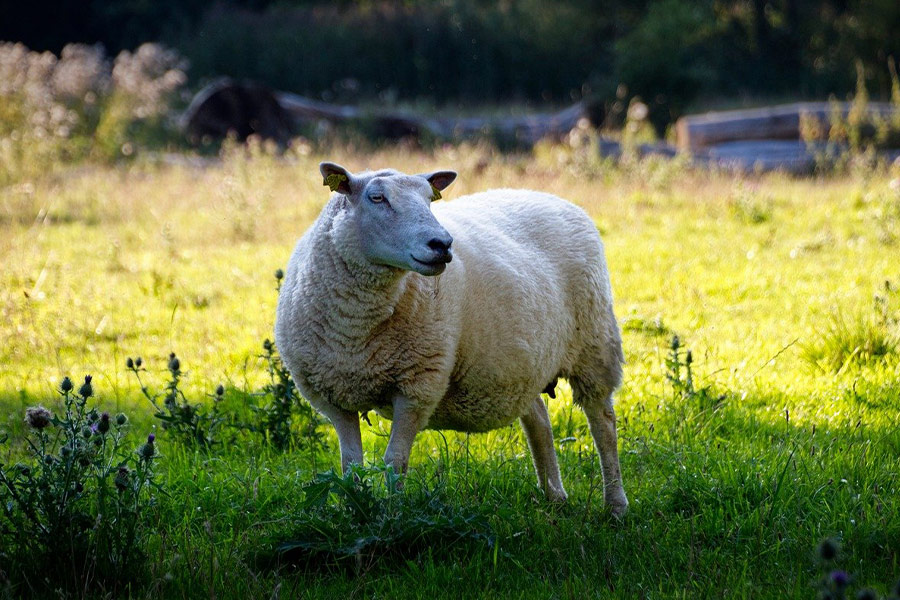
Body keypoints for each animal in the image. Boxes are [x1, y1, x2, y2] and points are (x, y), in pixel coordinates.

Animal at [274, 162, 628, 515]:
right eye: (377, 198)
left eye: (429, 199)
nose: (442, 244)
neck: (355, 334)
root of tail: (553, 198)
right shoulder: (330, 395)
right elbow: (350, 465)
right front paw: (354, 508)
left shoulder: (417, 386)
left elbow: (395, 461)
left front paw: (392, 513)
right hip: (522, 365)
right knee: (539, 420)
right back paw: (554, 495)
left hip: (594, 344)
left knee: (604, 424)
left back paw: (615, 505)